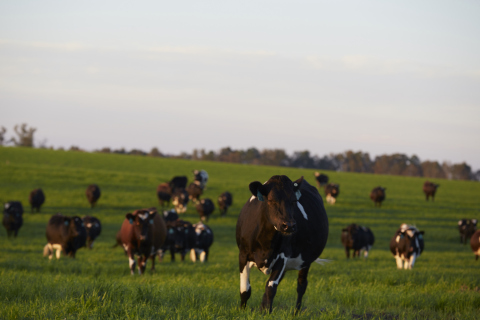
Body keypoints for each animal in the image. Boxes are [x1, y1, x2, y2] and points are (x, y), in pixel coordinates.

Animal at [234, 175, 328, 312]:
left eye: (294, 201)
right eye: (272, 200)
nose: (288, 225)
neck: (265, 242)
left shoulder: (282, 256)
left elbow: (271, 288)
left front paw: (267, 313)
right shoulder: (243, 254)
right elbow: (245, 290)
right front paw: (242, 311)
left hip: (306, 260)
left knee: (301, 286)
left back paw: (296, 312)